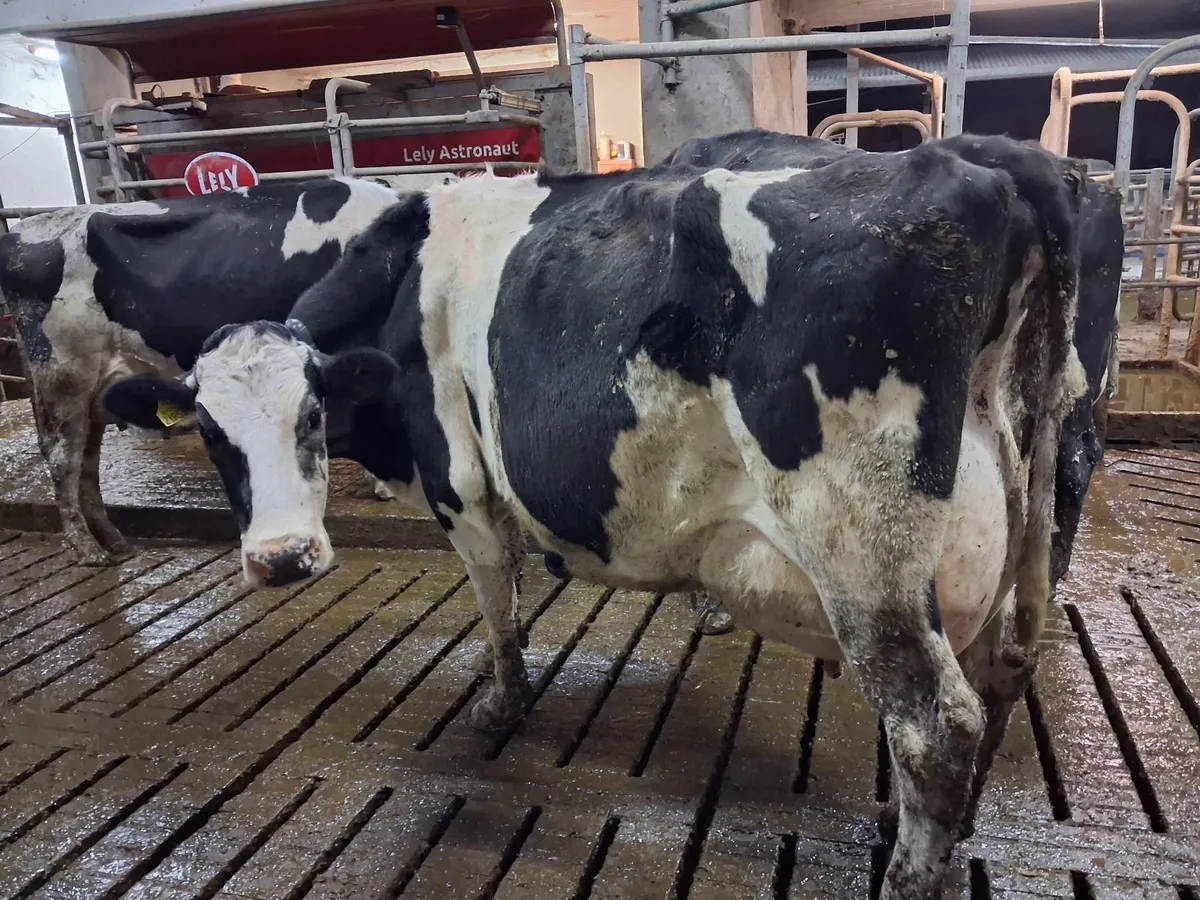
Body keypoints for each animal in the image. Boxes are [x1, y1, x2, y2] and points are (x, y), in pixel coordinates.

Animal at [103, 133, 1100, 898]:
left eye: (310, 414)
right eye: (211, 433)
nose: (282, 558)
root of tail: (997, 171)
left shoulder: (460, 479)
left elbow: (496, 602)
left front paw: (501, 707)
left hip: (866, 553)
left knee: (937, 725)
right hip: (1026, 518)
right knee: (1002, 671)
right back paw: (941, 832)